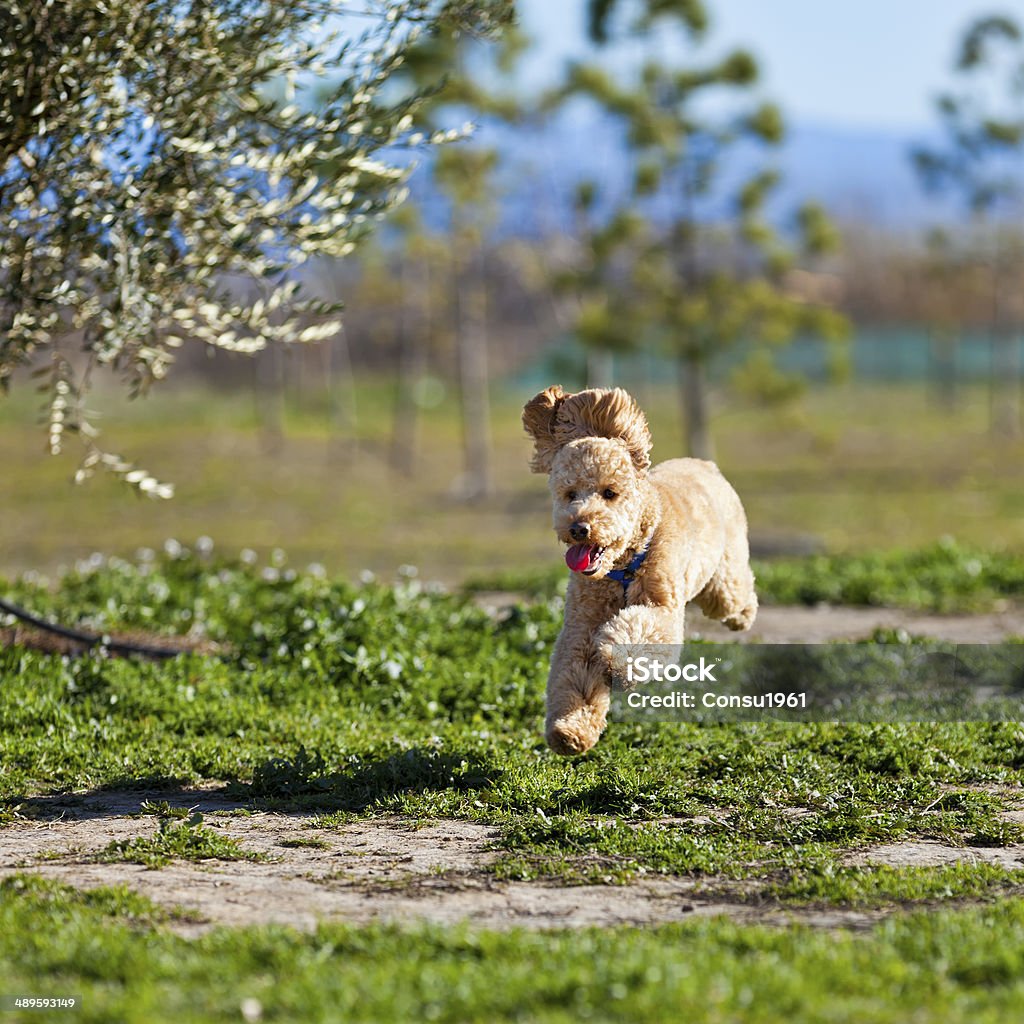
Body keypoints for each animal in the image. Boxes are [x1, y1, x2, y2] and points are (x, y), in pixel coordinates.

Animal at [524, 385, 757, 753]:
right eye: (570, 493)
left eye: (609, 493)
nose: (579, 528)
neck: (622, 567)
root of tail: (705, 464)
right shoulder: (581, 625)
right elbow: (575, 672)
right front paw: (571, 731)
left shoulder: (661, 608)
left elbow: (638, 630)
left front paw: (617, 664)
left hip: (724, 572)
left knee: (733, 593)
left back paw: (743, 616)